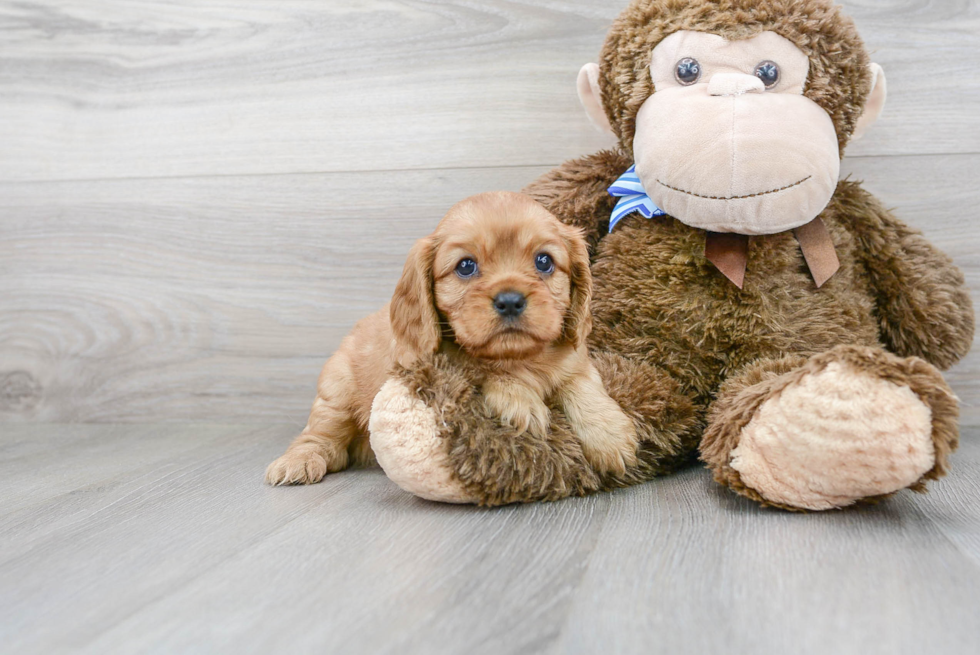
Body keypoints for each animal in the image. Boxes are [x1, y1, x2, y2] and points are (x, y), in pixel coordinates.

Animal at [264, 191, 640, 486]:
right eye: (466, 266)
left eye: (544, 261)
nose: (510, 300)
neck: (519, 357)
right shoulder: (431, 363)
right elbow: (479, 367)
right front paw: (519, 400)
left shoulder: (575, 360)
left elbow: (582, 384)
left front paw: (610, 436)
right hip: (337, 393)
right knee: (319, 437)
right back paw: (298, 462)